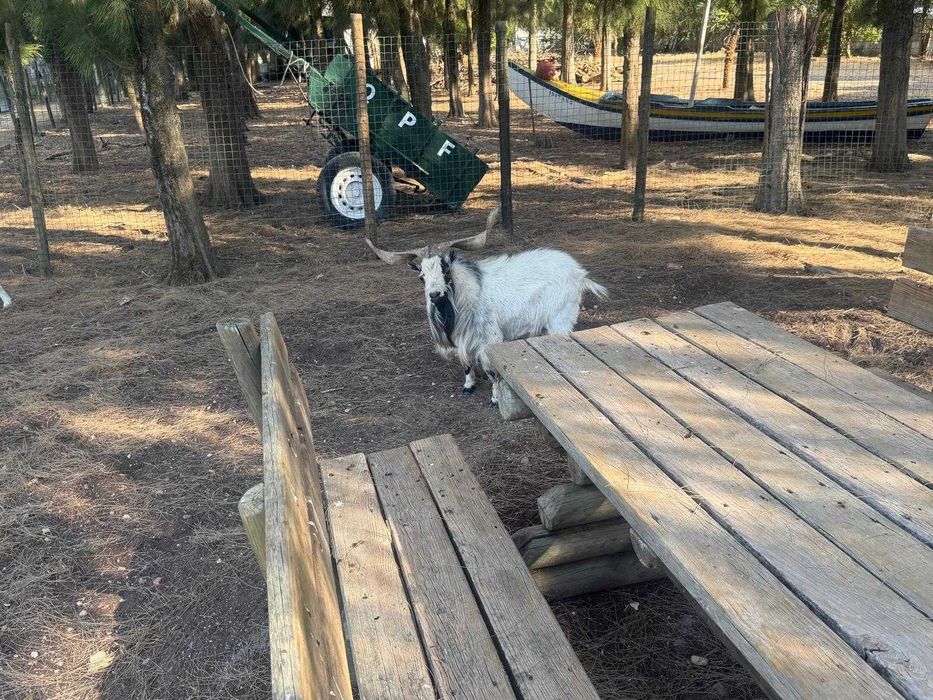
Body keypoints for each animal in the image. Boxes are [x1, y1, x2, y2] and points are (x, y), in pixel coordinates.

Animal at [367, 210, 608, 402]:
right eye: (421, 276)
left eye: (446, 269)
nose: (435, 295)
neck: (468, 295)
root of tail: (579, 274)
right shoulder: (462, 339)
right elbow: (466, 363)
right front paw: (468, 386)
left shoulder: (489, 339)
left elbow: (491, 371)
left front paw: (494, 398)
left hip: (561, 318)